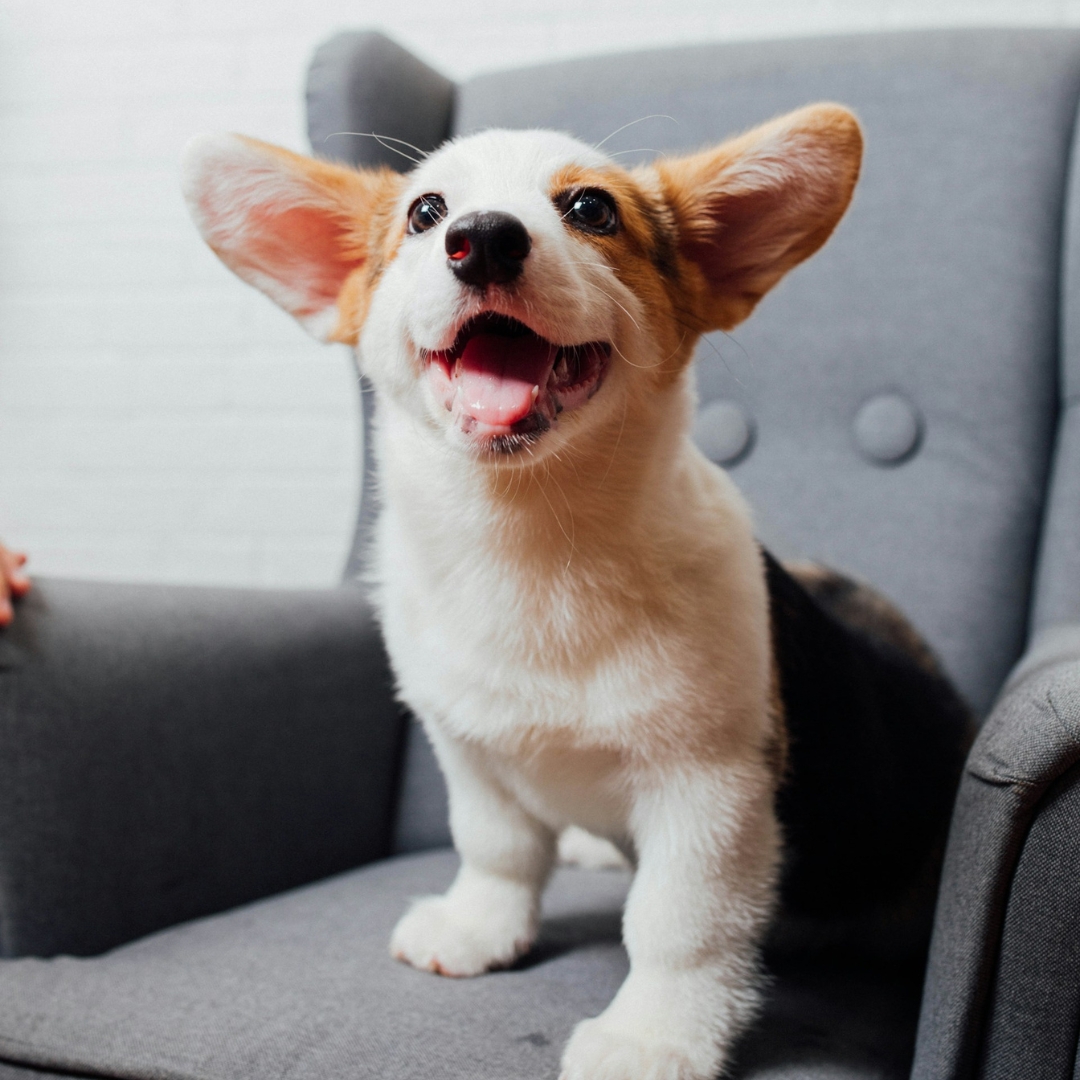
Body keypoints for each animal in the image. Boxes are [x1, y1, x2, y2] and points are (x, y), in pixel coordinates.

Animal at [181, 111, 976, 1080]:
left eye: (591, 209)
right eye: (424, 212)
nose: (481, 238)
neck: (529, 541)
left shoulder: (707, 787)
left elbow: (678, 925)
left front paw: (654, 1037)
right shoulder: (469, 750)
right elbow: (497, 848)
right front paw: (478, 929)